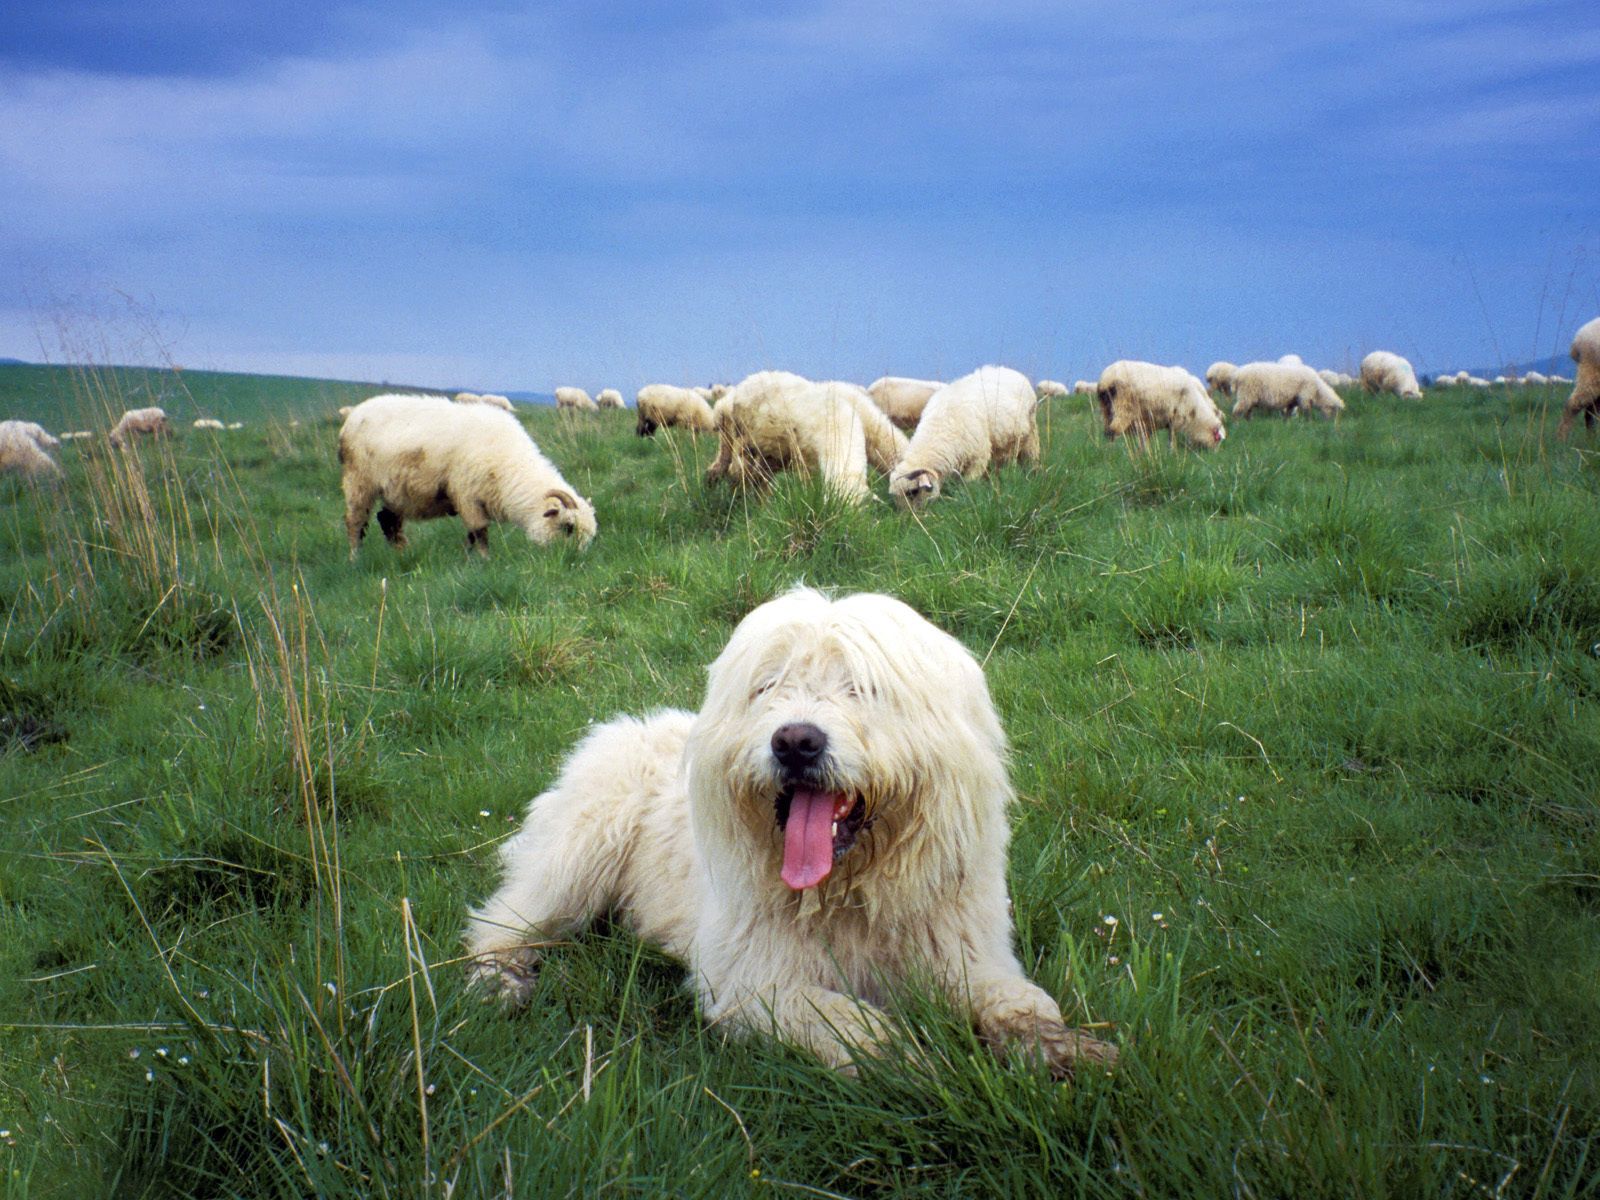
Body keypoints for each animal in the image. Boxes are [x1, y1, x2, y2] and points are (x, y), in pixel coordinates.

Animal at [340, 396, 598, 563]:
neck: (510, 467)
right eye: (568, 527)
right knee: (355, 522)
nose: (574, 560)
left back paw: (402, 554)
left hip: (396, 491)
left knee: (388, 521)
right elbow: (479, 531)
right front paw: (485, 561)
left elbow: (472, 536)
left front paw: (469, 558)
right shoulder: (466, 495)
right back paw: (355, 558)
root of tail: (353, 414)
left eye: (589, 536)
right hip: (358, 480)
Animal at [467, 592, 1113, 1081]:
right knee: (502, 921)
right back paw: (498, 982)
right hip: (580, 853)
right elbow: (849, 1024)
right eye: (768, 685)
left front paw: (1064, 1049)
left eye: (860, 687)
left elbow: (1018, 1002)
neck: (850, 895)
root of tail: (620, 729)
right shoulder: (755, 982)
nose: (795, 742)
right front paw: (919, 1066)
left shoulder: (968, 954)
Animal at [889, 361, 1036, 502]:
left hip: (1030, 431)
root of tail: (1011, 370)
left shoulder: (979, 457)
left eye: (913, 492)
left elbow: (969, 483)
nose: (906, 514)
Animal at [1094, 361, 1228, 451]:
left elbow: (1145, 439)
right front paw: (1172, 452)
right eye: (1218, 439)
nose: (1214, 454)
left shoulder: (1148, 422)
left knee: (1107, 430)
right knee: (1113, 430)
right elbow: (1171, 437)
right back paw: (1111, 450)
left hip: (1106, 407)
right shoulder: (1176, 416)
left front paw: (1144, 453)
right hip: (1124, 407)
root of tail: (1107, 378)